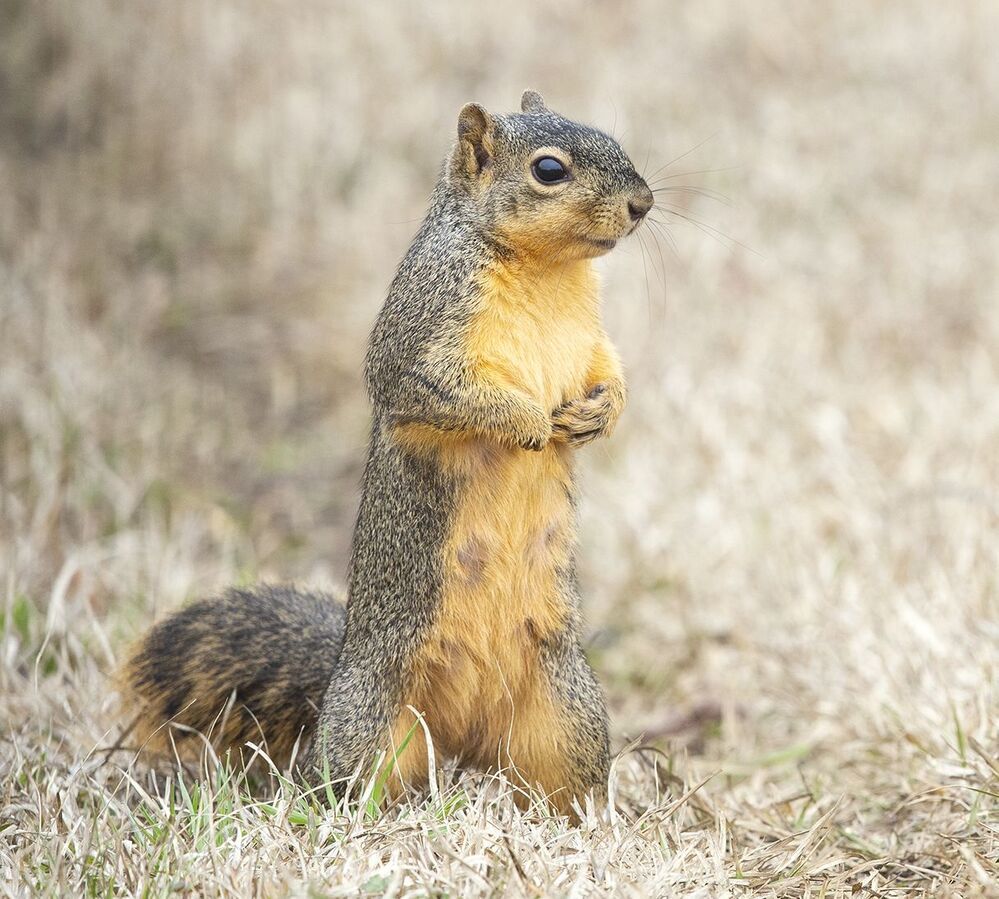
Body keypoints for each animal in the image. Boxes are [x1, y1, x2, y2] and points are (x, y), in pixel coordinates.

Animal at [119, 90, 654, 818]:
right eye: (549, 169)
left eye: (610, 136)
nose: (643, 203)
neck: (547, 271)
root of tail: (461, 736)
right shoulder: (417, 342)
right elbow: (439, 390)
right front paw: (527, 422)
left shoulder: (591, 340)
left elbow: (610, 371)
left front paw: (601, 413)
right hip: (371, 725)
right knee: (344, 780)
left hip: (565, 713)